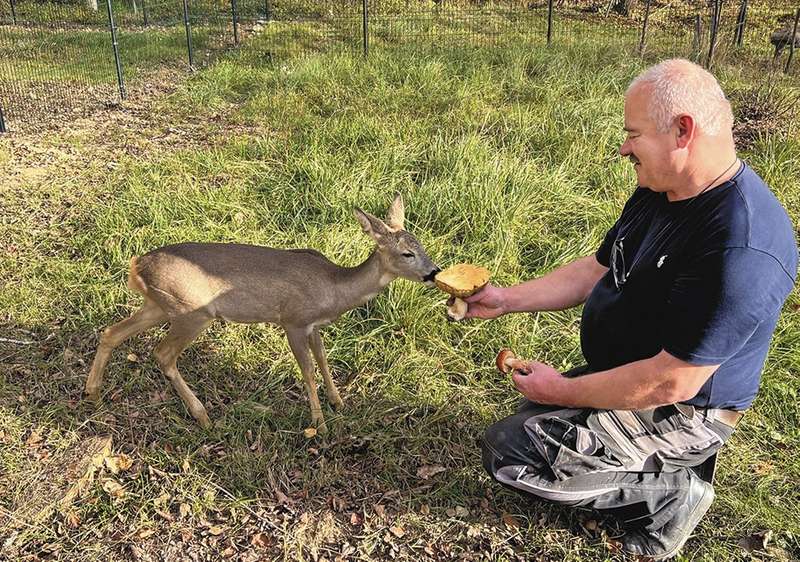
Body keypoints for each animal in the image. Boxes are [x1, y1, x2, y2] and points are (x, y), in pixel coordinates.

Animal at [84, 195, 440, 430]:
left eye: (421, 244)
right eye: (407, 253)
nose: (433, 272)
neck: (333, 288)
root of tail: (136, 266)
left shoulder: (313, 325)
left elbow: (324, 361)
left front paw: (338, 402)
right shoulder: (292, 320)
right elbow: (308, 370)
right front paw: (319, 423)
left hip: (158, 305)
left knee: (111, 332)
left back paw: (93, 394)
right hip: (191, 310)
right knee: (162, 354)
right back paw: (203, 416)